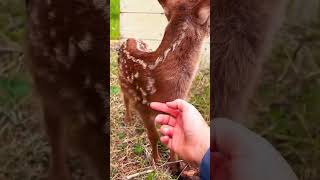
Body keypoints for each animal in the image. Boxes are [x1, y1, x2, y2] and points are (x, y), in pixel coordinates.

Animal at [117, 0, 210, 165]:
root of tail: (129, 39)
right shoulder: (142, 105)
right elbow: (153, 136)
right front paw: (156, 161)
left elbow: (173, 136)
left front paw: (174, 162)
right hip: (122, 83)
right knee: (126, 99)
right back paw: (128, 120)